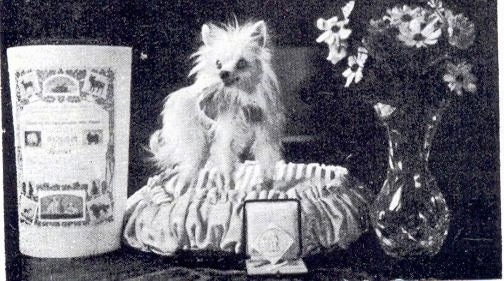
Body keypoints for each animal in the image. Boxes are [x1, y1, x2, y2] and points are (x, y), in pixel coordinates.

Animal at [149, 20, 284, 190]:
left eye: (241, 63)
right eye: (218, 64)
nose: (223, 73)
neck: (242, 98)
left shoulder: (265, 133)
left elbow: (266, 158)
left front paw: (266, 183)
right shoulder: (227, 136)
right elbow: (227, 161)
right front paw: (229, 186)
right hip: (196, 141)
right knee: (189, 166)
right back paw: (183, 184)